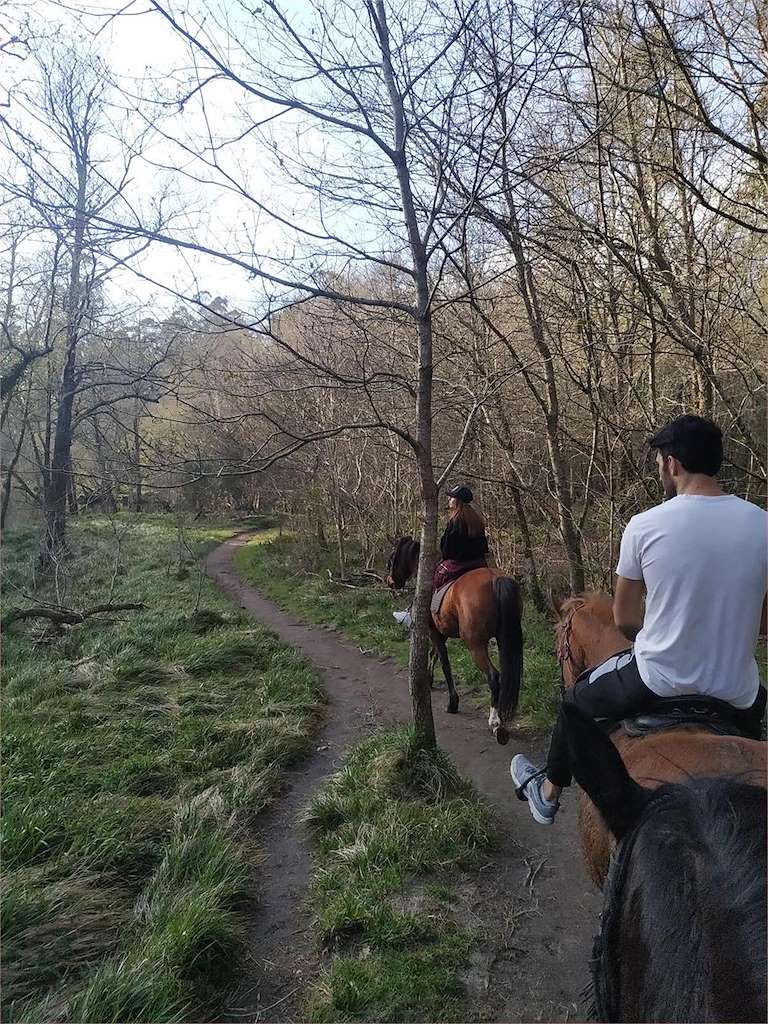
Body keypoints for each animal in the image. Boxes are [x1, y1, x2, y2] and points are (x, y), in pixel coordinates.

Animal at [387, 536, 528, 745]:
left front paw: (452, 702)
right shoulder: (440, 632)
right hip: (505, 639)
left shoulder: (434, 632)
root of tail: (495, 580)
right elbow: (434, 654)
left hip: (475, 644)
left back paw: (495, 722)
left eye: (391, 560)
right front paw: (429, 679)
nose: (391, 583)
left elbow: (445, 665)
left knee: (494, 676)